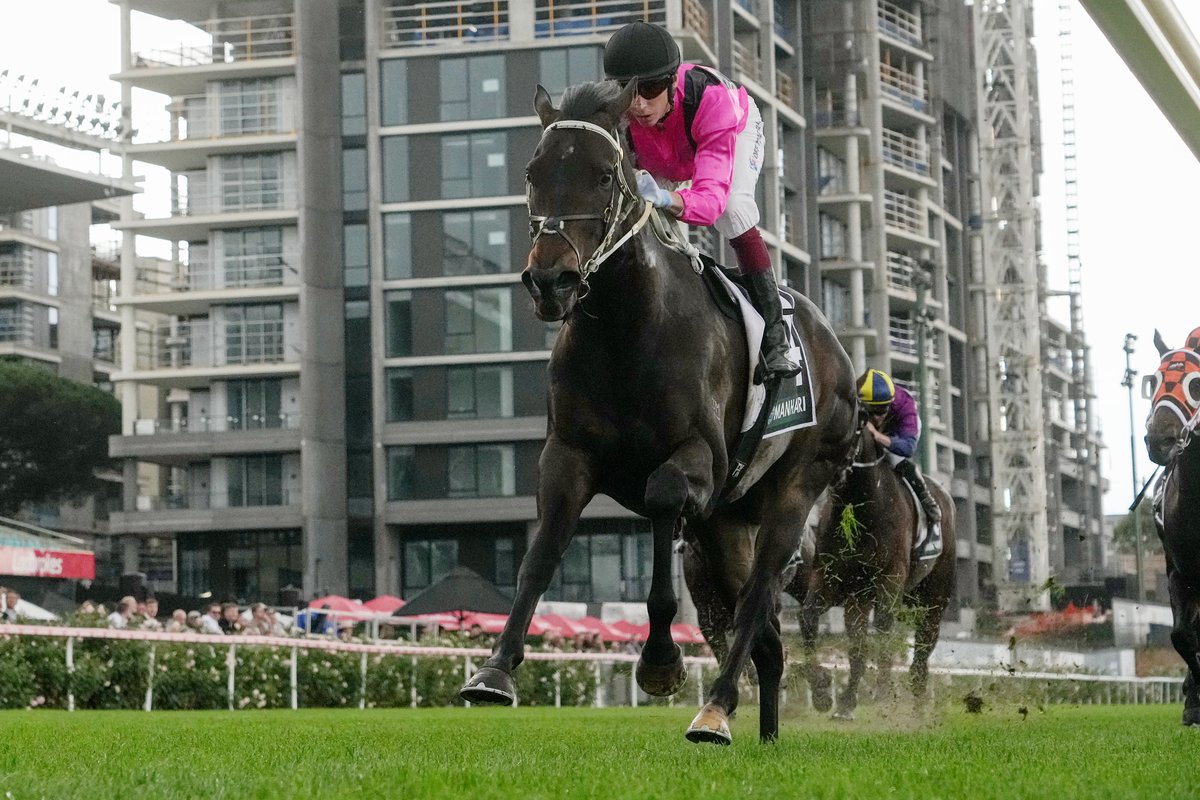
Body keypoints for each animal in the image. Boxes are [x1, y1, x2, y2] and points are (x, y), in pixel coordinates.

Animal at [458, 79, 859, 745]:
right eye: (532, 172)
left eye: (602, 176)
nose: (550, 280)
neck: (627, 329)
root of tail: (838, 351)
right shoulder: (568, 456)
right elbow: (539, 558)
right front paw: (494, 671)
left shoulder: (698, 460)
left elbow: (662, 507)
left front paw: (661, 661)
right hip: (727, 522)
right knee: (768, 640)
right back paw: (766, 735)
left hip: (795, 488)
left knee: (756, 600)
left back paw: (715, 709)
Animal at [791, 406, 957, 719]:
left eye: (852, 427)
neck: (861, 504)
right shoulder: (831, 577)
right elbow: (809, 618)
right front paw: (822, 691)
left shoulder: (889, 578)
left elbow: (882, 629)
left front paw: (882, 689)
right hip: (861, 597)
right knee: (859, 640)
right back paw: (847, 701)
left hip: (934, 599)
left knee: (921, 649)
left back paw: (917, 704)